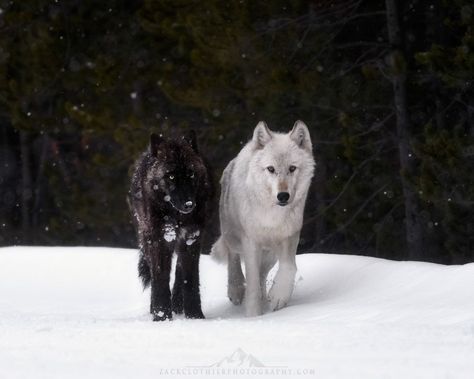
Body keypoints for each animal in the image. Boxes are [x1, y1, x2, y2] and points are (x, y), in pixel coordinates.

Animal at [128, 132, 213, 322]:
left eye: (191, 174)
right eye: (171, 176)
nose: (189, 204)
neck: (177, 216)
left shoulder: (191, 238)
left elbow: (190, 279)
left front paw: (195, 316)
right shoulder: (159, 240)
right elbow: (160, 279)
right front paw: (162, 317)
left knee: (179, 271)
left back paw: (178, 305)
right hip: (146, 237)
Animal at [211, 121, 314, 318]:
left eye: (292, 168)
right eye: (271, 169)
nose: (283, 196)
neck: (272, 215)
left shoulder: (289, 237)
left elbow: (289, 268)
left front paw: (278, 297)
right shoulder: (250, 242)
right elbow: (251, 284)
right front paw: (253, 315)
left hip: (270, 255)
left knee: (262, 275)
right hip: (233, 237)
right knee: (233, 257)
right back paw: (236, 290)